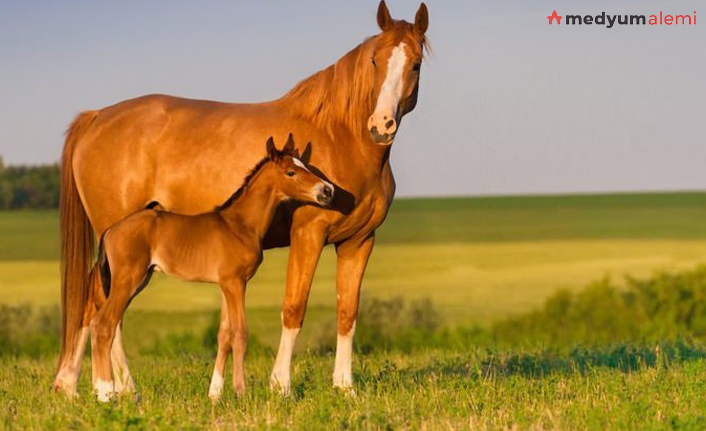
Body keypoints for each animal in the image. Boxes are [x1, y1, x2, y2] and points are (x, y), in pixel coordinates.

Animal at [86, 137, 332, 404]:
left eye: (306, 165)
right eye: (291, 172)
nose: (327, 191)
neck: (240, 225)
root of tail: (110, 230)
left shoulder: (226, 285)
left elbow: (224, 334)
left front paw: (215, 394)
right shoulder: (235, 283)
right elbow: (240, 334)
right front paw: (241, 392)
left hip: (138, 280)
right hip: (127, 280)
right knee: (103, 325)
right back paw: (105, 394)